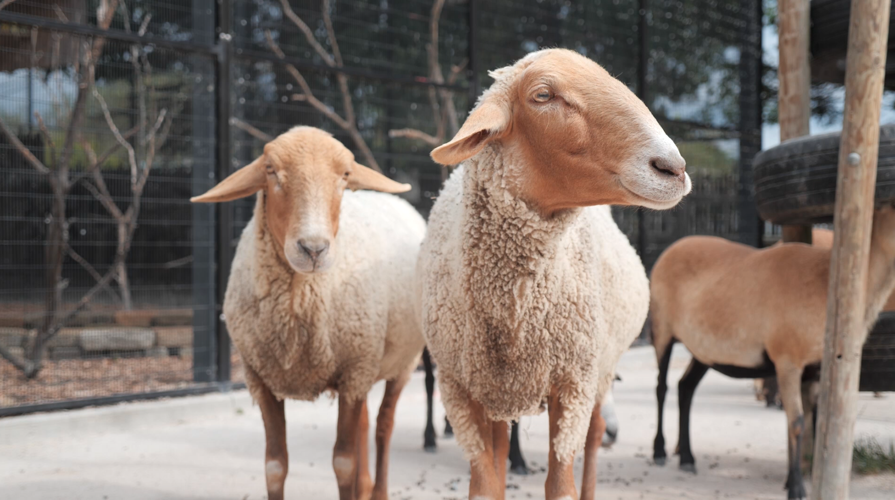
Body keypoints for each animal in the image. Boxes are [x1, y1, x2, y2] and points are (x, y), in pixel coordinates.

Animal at [191, 126, 426, 500]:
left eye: (345, 175)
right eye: (270, 170)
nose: (313, 249)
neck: (296, 304)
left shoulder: (354, 371)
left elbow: (343, 462)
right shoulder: (261, 380)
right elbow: (275, 467)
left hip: (399, 362)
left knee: (383, 425)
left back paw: (378, 489)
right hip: (364, 365)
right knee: (364, 424)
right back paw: (364, 488)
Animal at [418, 48, 690, 500]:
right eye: (543, 95)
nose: (673, 168)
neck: (512, 318)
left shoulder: (573, 384)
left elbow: (561, 483)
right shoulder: (459, 390)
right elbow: (485, 484)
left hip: (600, 370)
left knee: (595, 437)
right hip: (500, 390)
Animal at [649, 205, 895, 500]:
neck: (827, 282)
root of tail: (670, 249)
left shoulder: (816, 367)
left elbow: (813, 420)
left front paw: (801, 477)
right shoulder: (787, 360)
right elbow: (797, 421)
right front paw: (797, 487)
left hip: (703, 349)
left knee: (685, 387)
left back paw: (687, 458)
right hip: (662, 328)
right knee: (661, 387)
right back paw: (660, 451)